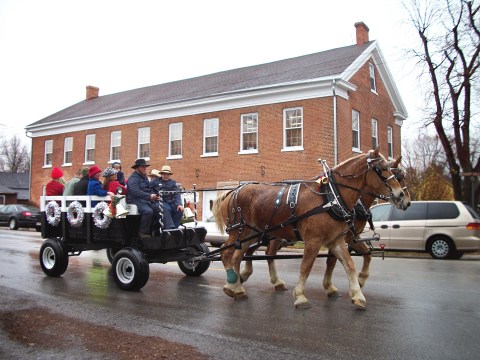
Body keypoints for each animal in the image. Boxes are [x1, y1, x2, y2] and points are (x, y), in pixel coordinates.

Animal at [214, 148, 404, 308]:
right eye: (381, 168)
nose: (401, 195)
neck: (330, 197)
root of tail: (232, 192)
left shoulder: (337, 240)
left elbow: (349, 265)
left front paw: (357, 294)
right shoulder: (314, 241)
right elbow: (306, 266)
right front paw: (300, 296)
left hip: (251, 233)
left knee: (238, 256)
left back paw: (236, 287)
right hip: (239, 231)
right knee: (226, 253)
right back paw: (233, 282)